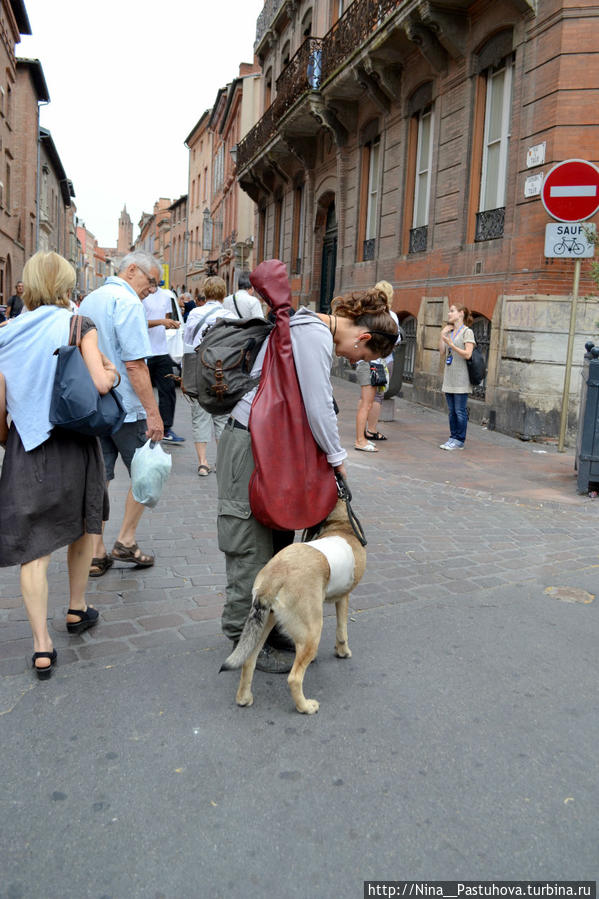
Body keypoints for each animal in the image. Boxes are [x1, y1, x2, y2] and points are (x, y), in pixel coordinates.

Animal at [220, 500, 366, 716]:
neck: (341, 524)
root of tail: (274, 575)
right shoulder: (343, 598)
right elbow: (342, 630)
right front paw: (343, 652)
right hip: (312, 632)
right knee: (294, 678)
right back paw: (305, 707)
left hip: (265, 624)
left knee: (248, 661)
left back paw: (244, 699)